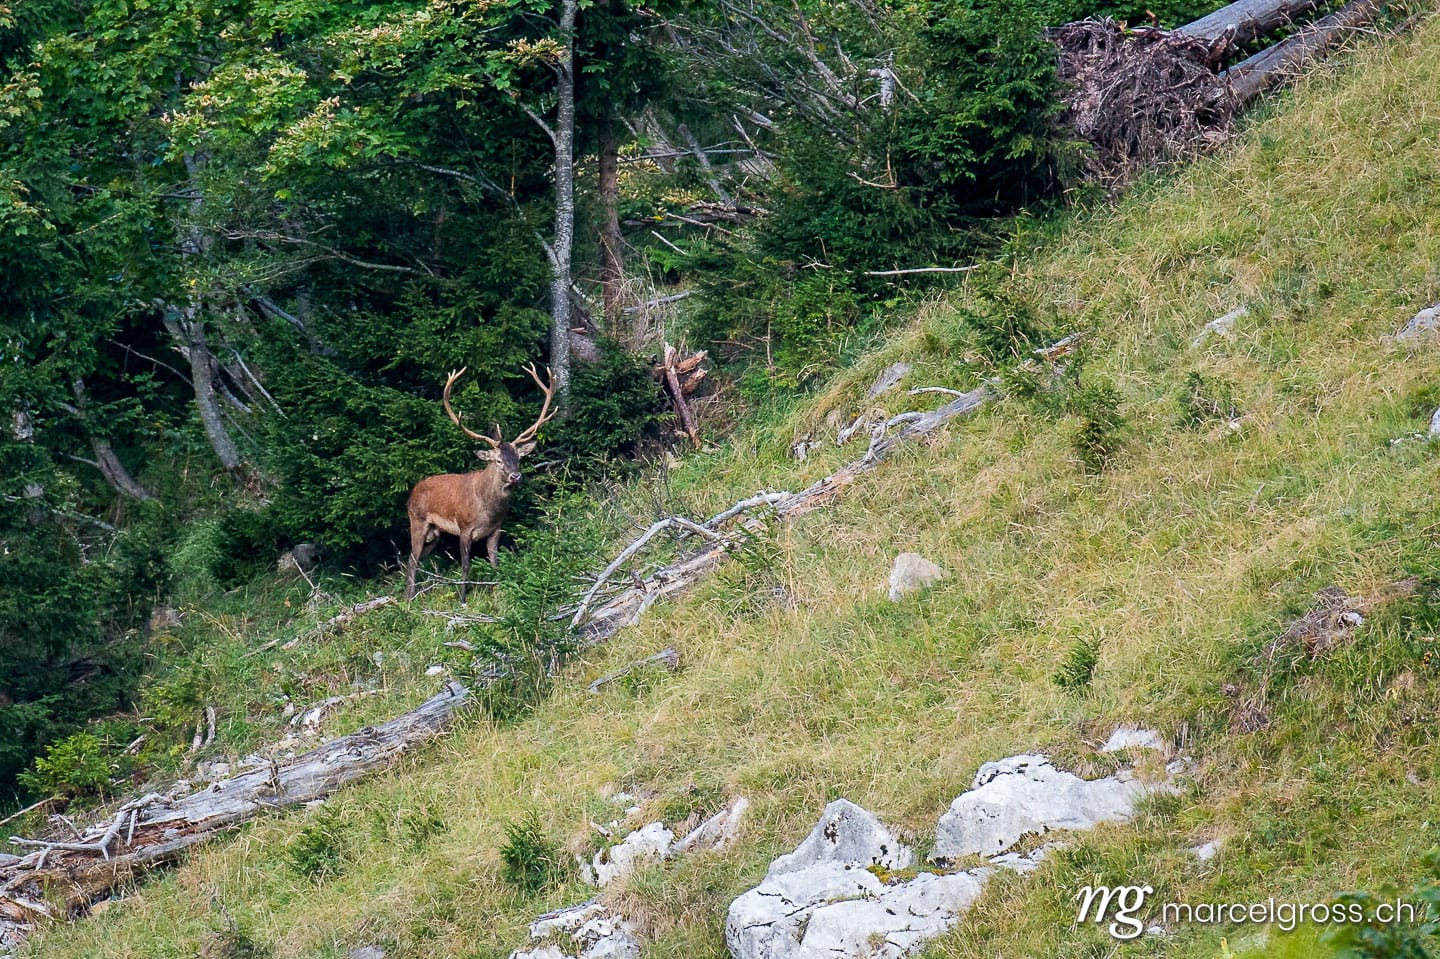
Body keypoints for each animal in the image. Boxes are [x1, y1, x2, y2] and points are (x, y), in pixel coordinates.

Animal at [404, 363, 557, 602]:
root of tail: (411, 494)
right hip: (417, 521)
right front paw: (462, 599)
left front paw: (499, 592)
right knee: (411, 559)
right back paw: (409, 599)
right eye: (498, 460)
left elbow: (495, 564)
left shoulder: (496, 529)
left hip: (435, 534)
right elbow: (465, 566)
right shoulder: (465, 528)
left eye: (518, 458)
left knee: (415, 559)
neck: (488, 508)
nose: (516, 476)